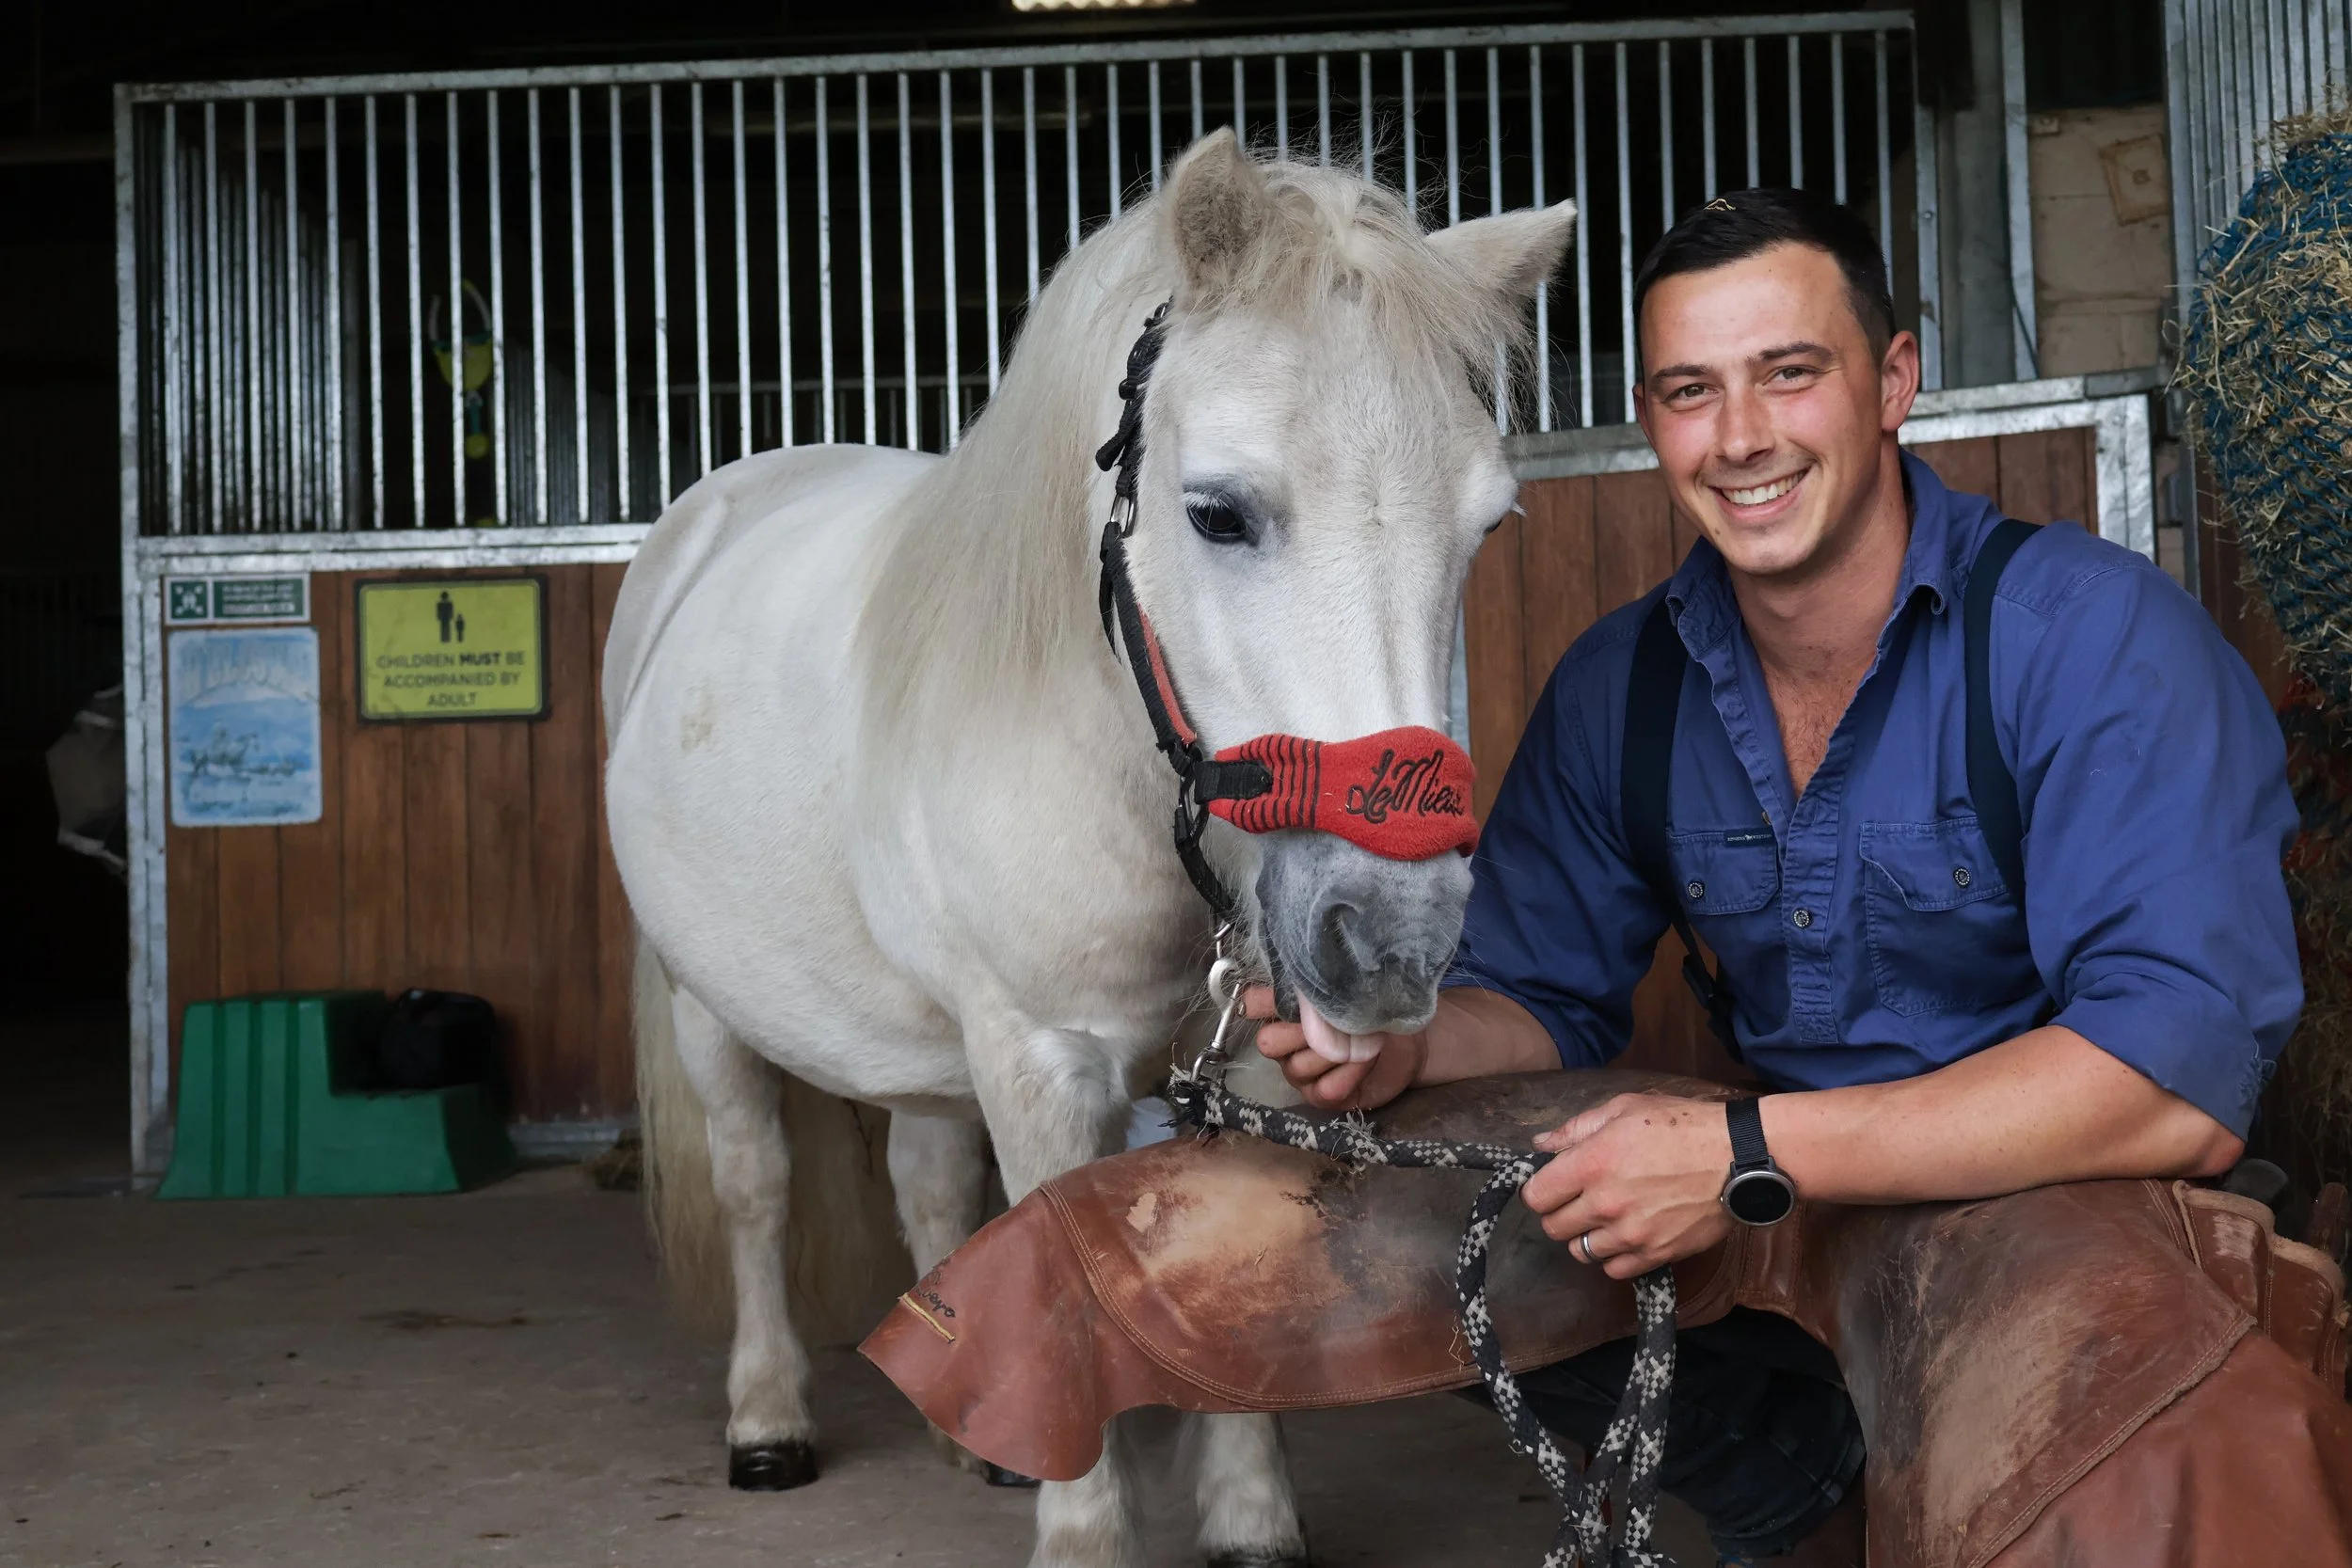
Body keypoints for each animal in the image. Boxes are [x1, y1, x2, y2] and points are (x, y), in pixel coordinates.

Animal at [601, 128, 1574, 1567]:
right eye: (1218, 512)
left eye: (1489, 525)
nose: (1392, 939)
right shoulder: (1044, 1057)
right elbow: (1056, 1290)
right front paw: (1087, 1531)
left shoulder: (1248, 1065)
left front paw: (1249, 1523)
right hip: (707, 1006)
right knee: (754, 1186)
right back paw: (767, 1416)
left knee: (925, 1176)